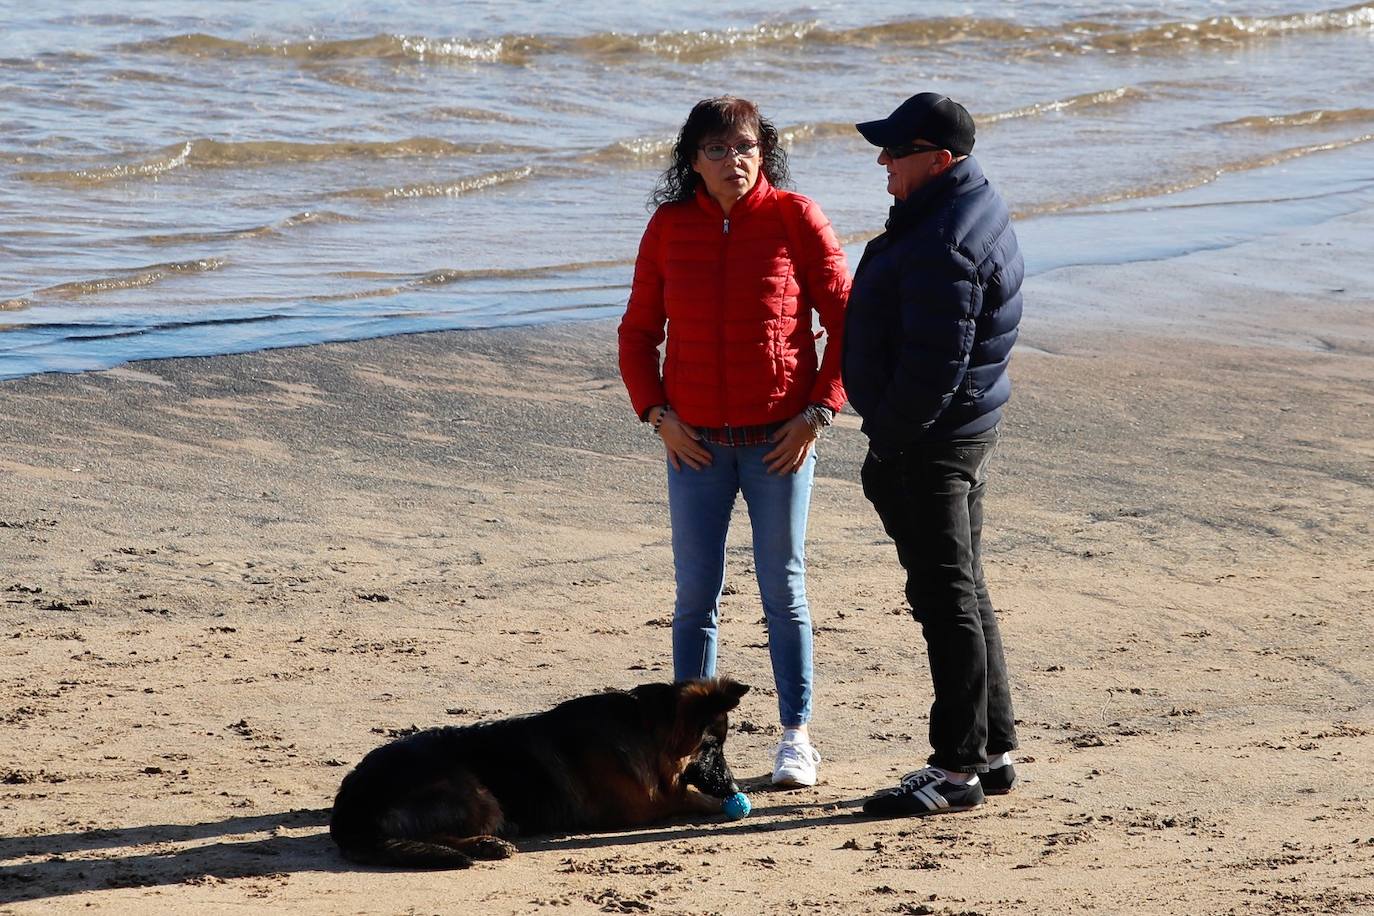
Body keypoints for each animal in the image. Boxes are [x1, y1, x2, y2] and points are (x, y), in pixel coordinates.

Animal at [327, 681, 747, 867]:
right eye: (713, 748)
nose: (732, 785)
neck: (644, 727)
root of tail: (349, 807)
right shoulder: (640, 806)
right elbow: (685, 796)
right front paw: (721, 803)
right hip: (475, 792)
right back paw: (485, 844)